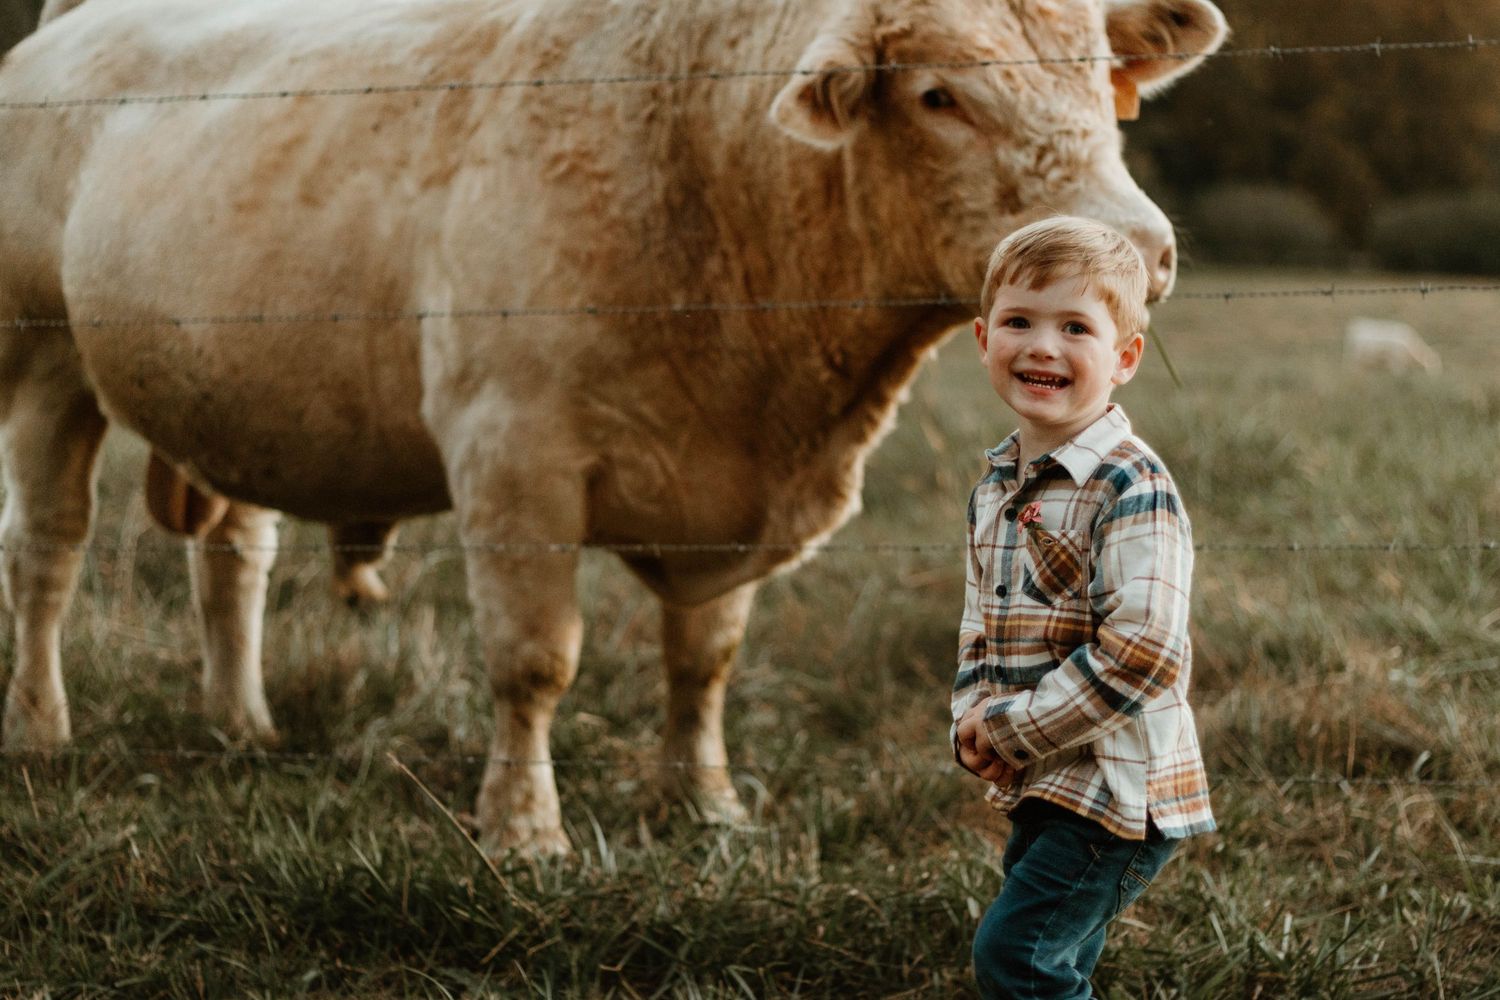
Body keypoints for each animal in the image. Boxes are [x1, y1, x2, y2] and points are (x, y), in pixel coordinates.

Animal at [0, 0, 1226, 854]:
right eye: (937, 96)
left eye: (1101, 74)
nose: (1137, 244)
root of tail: (70, 26)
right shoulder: (513, 455)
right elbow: (535, 660)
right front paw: (523, 828)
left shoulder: (728, 483)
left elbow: (706, 658)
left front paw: (704, 798)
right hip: (46, 361)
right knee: (48, 553)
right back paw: (40, 727)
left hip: (229, 397)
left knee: (232, 558)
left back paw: (240, 721)